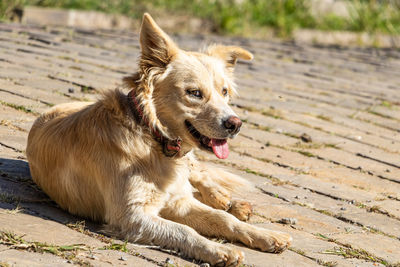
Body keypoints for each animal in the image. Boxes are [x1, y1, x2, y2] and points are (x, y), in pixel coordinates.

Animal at [26, 13, 292, 266]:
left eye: (224, 92)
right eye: (194, 93)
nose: (235, 124)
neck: (152, 138)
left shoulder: (177, 201)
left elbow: (222, 218)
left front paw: (265, 235)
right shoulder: (132, 216)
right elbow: (186, 231)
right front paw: (219, 250)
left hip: (192, 168)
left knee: (201, 178)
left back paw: (226, 200)